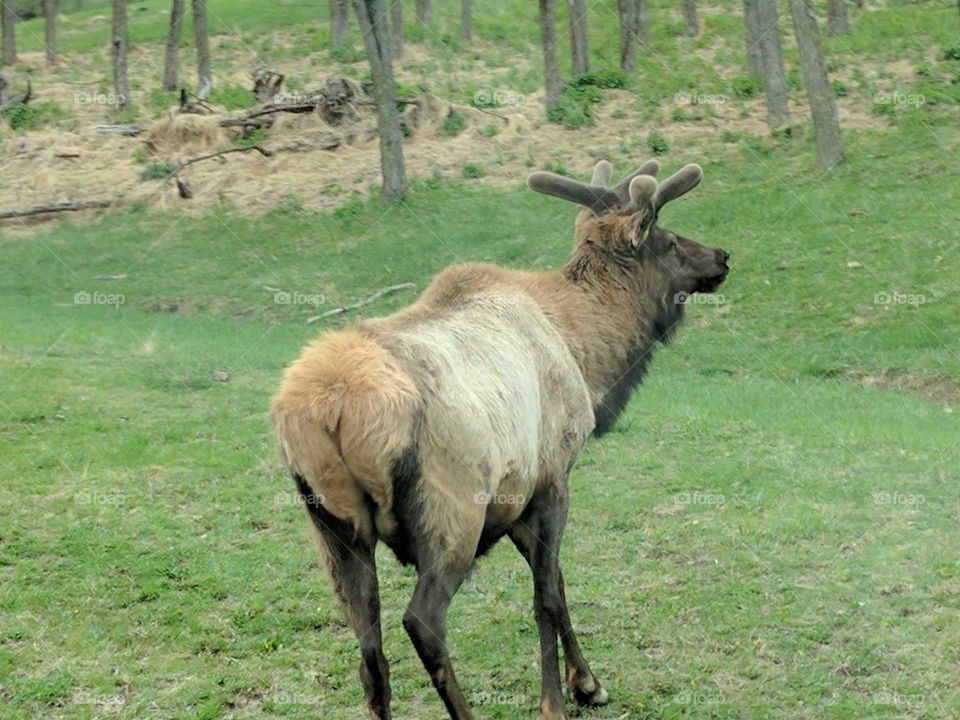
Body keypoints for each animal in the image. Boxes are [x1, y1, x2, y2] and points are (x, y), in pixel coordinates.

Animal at [270, 158, 730, 720]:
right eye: (667, 239)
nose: (722, 256)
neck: (585, 353)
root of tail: (325, 412)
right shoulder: (553, 473)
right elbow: (545, 596)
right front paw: (558, 700)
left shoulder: (516, 494)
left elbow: (555, 578)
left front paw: (589, 683)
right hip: (451, 514)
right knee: (421, 621)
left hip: (334, 529)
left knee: (370, 658)